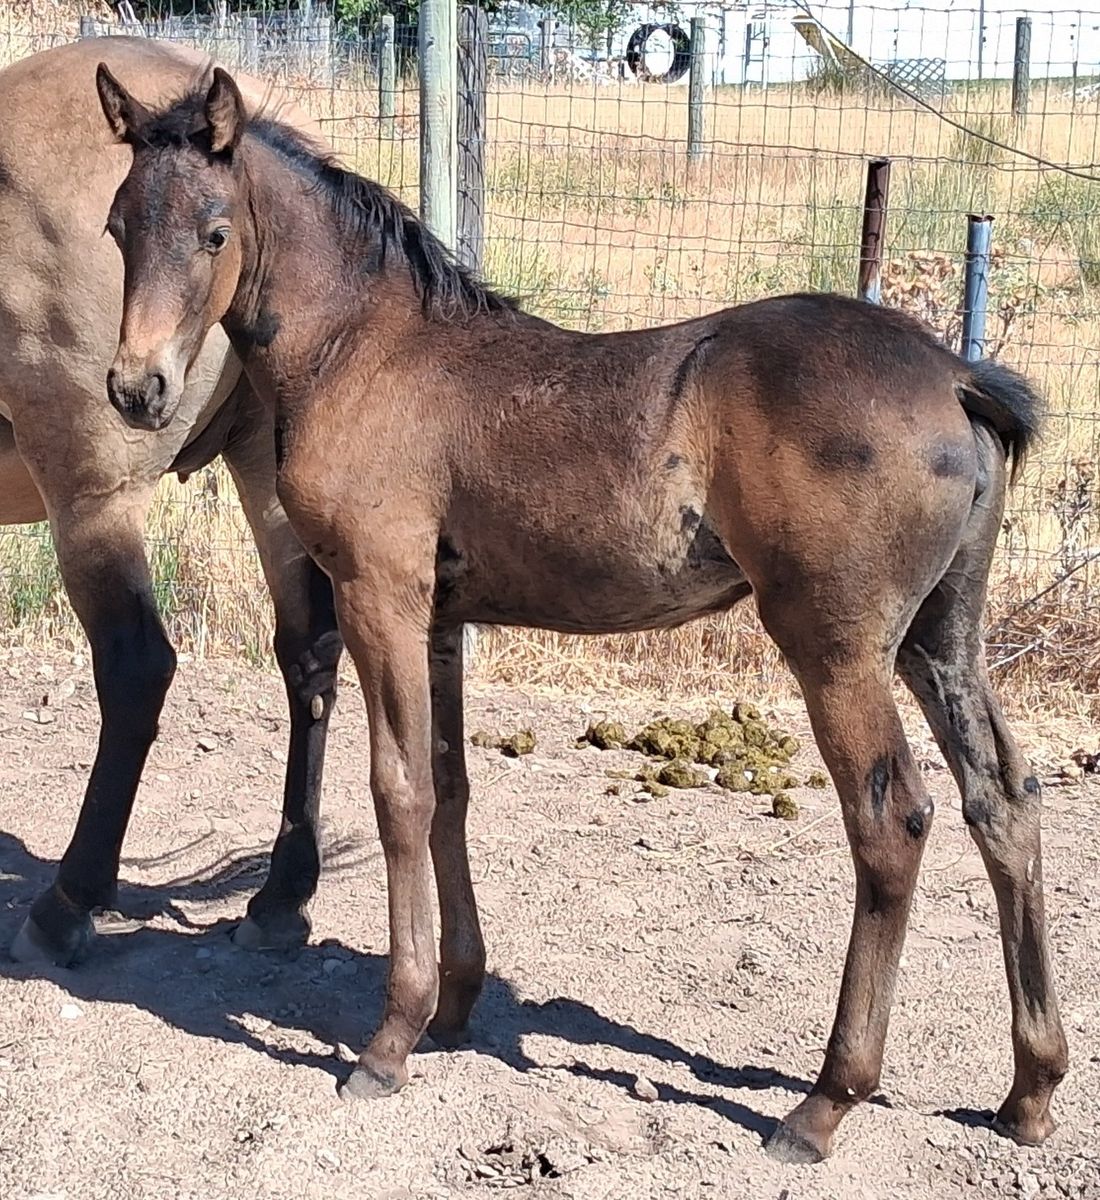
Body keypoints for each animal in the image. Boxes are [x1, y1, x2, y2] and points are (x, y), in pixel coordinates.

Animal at [0, 38, 343, 967]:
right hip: (266, 469)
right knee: (310, 654)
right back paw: (282, 898)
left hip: (93, 498)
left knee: (138, 668)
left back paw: (68, 903)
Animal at [92, 64, 1068, 1163]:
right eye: (118, 224)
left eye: (215, 232)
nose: (136, 390)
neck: (363, 349)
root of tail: (955, 374)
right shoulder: (441, 618)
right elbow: (449, 787)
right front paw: (456, 1005)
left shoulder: (380, 594)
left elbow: (398, 793)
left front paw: (389, 1040)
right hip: (940, 637)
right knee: (1003, 799)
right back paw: (1028, 1091)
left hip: (836, 647)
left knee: (891, 821)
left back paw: (822, 1103)